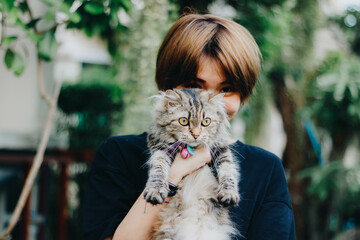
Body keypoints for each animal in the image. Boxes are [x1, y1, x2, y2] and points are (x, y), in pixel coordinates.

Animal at [143, 88, 239, 240]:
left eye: (206, 121)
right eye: (183, 121)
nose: (196, 135)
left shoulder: (221, 150)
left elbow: (228, 172)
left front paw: (229, 193)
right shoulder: (160, 149)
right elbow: (158, 169)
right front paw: (155, 190)